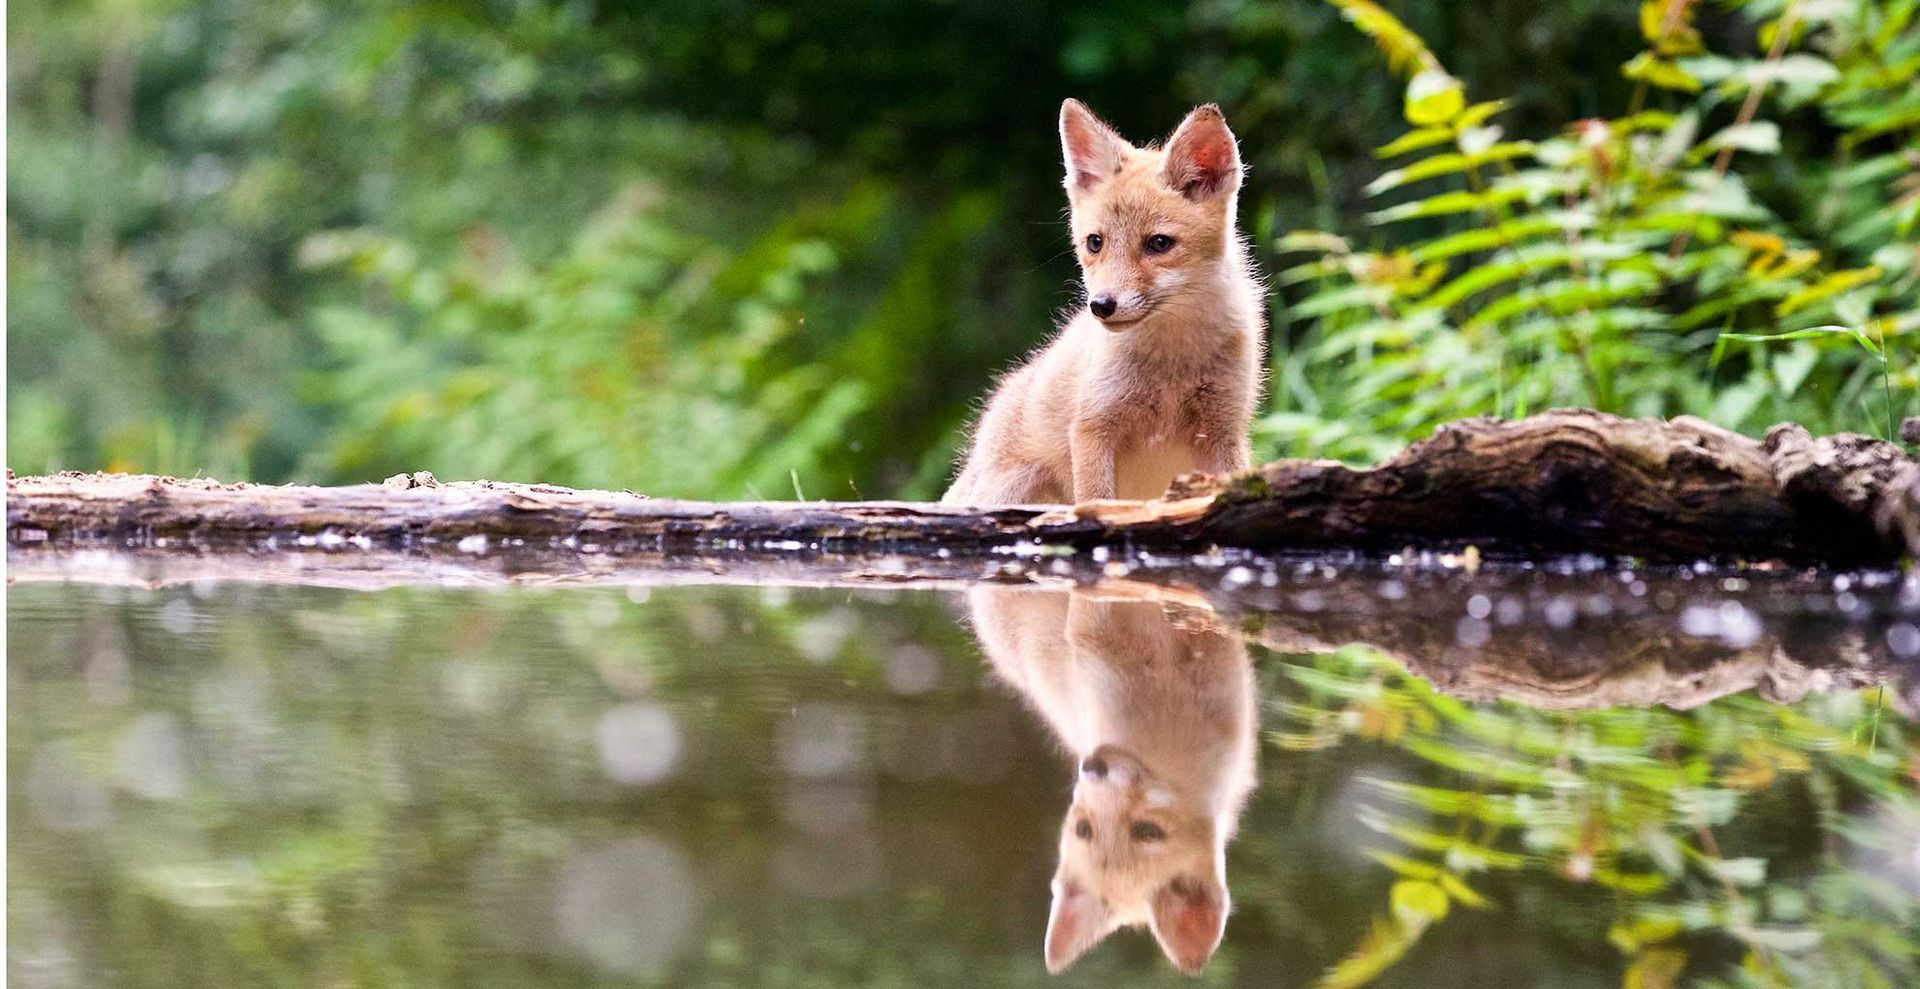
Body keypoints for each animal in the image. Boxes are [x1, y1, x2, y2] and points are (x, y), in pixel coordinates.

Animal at [943, 99, 1265, 505]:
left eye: (1159, 244)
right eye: (1095, 243)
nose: (1101, 305)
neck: (1173, 363)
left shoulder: (1224, 431)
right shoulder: (1093, 426)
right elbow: (1095, 501)